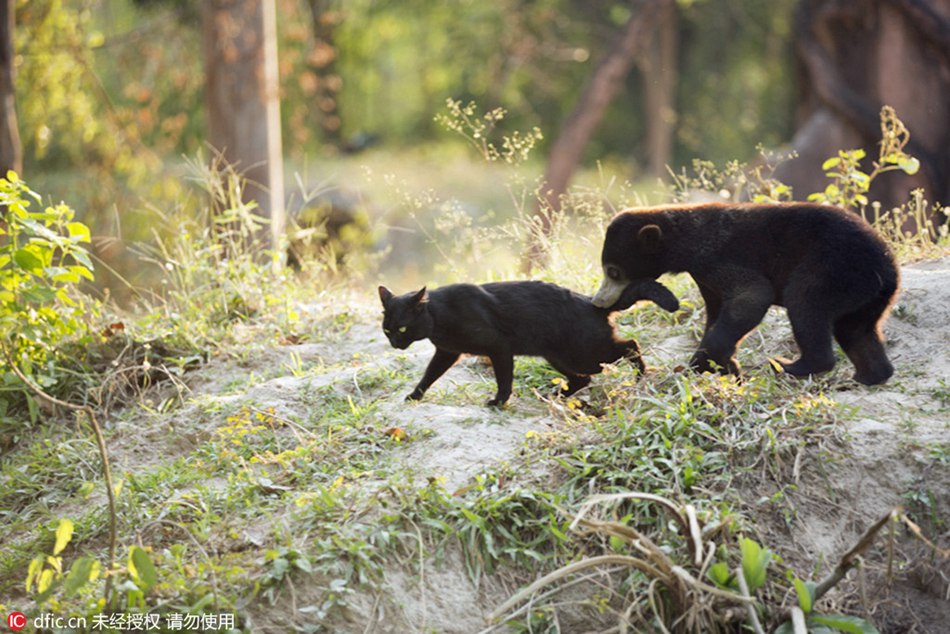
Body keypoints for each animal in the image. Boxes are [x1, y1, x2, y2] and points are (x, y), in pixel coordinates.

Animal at [376, 278, 680, 404]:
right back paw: (554, 396)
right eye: (387, 330)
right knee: (584, 379)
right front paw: (415, 395)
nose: (394, 344)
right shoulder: (447, 353)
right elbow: (429, 375)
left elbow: (504, 379)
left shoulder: (499, 347)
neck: (440, 315)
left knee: (631, 345)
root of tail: (592, 303)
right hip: (559, 356)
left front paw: (499, 401)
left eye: (402, 328)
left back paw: (641, 375)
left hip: (586, 353)